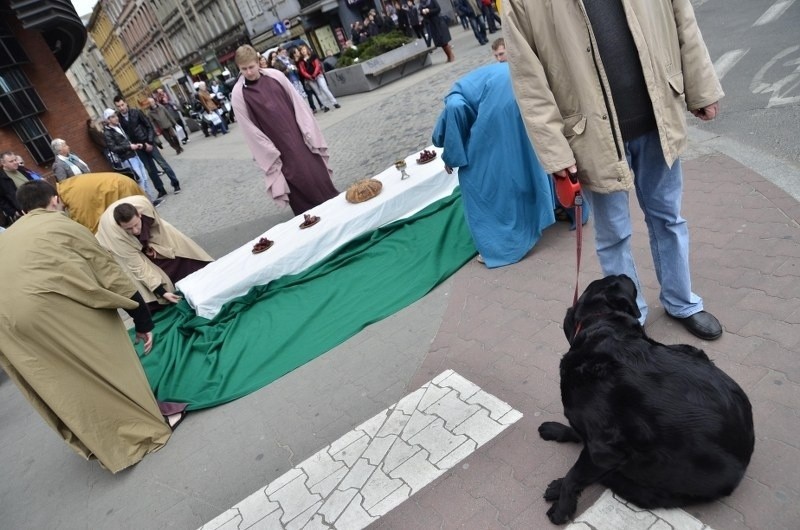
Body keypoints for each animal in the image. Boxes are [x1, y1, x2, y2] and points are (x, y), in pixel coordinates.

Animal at [540, 274, 752, 520]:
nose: (624, 274)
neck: (600, 327)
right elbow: (577, 434)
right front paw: (557, 429)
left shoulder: (605, 451)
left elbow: (574, 476)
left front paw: (562, 507)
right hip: (692, 350)